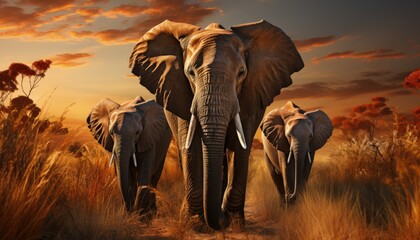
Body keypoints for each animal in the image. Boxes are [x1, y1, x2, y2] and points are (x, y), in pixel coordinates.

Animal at [130, 19, 304, 230]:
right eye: (190, 73)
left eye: (241, 73)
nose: (222, 220)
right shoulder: (181, 94)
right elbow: (191, 148)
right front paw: (195, 223)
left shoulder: (250, 96)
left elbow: (239, 148)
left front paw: (234, 221)